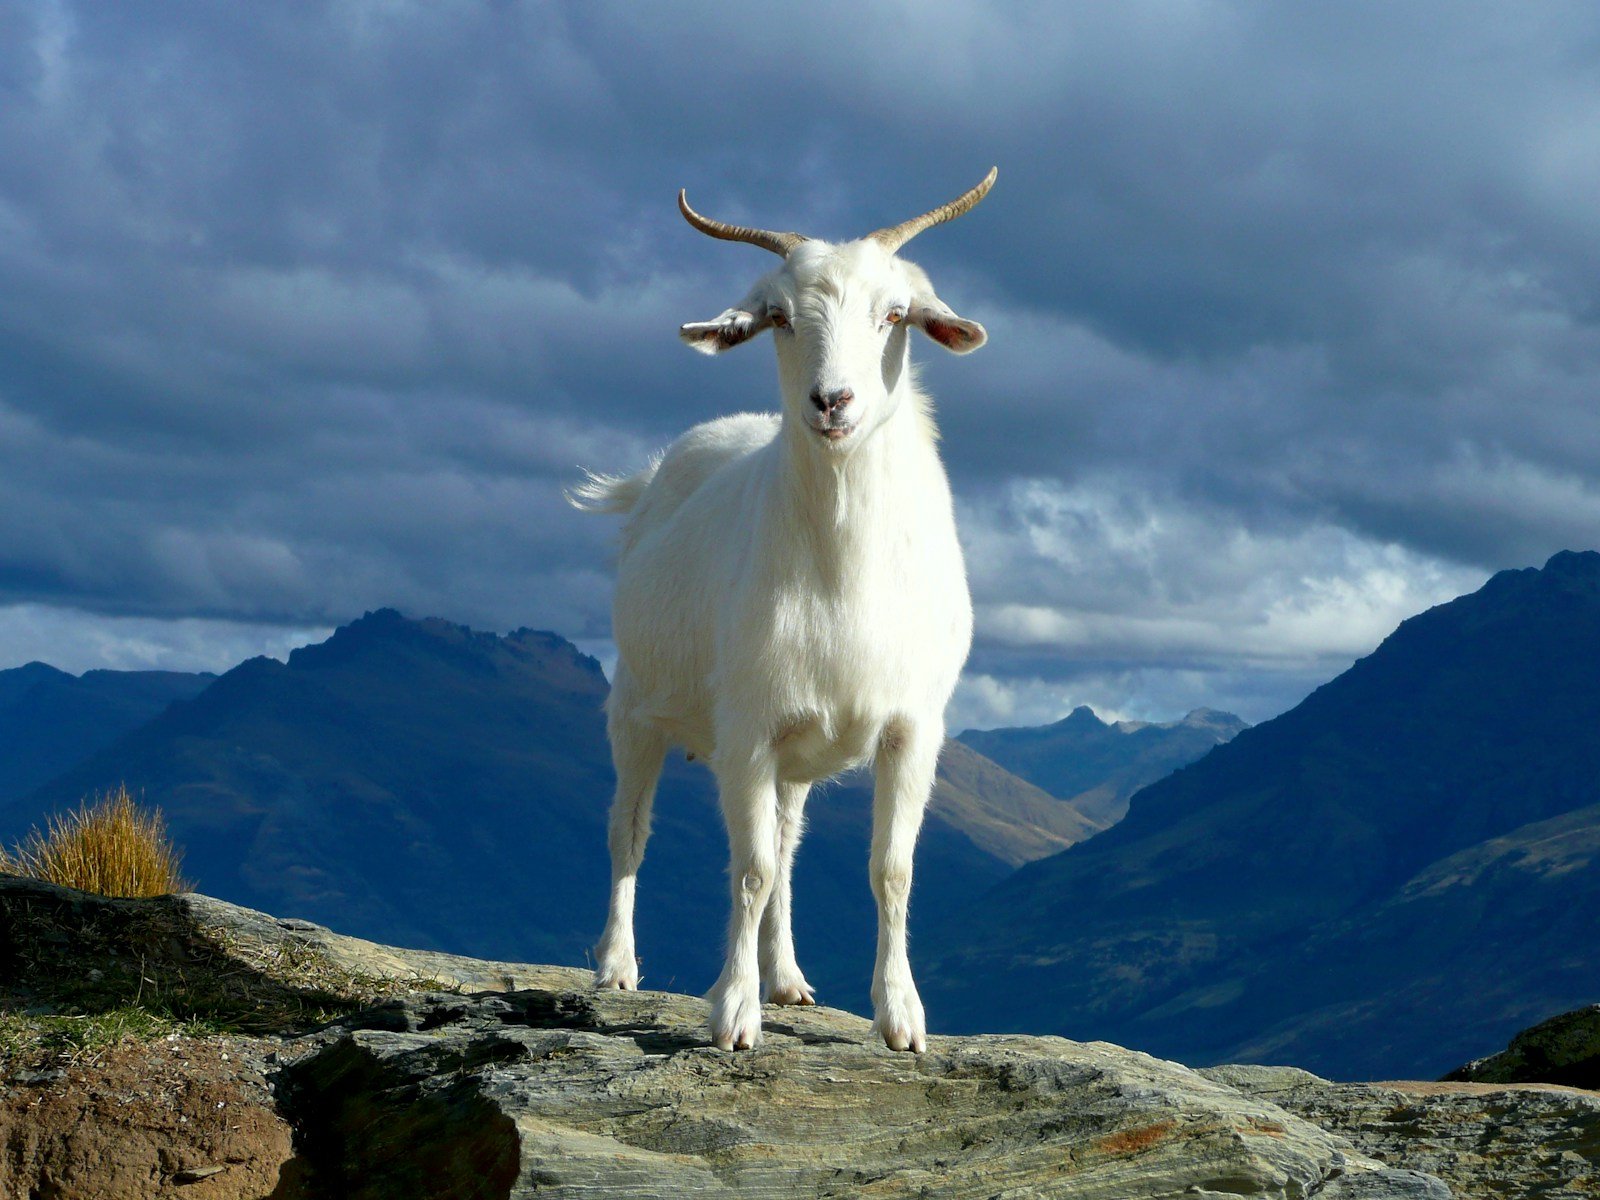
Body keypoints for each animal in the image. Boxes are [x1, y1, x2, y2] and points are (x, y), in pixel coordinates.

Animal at [569, 169, 992, 1049]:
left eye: (895, 314)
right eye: (779, 318)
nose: (833, 402)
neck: (843, 572)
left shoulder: (912, 729)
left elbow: (889, 869)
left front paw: (901, 1017)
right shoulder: (747, 731)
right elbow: (750, 870)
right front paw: (733, 1013)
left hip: (798, 753)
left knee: (790, 847)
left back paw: (789, 978)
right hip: (635, 708)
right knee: (629, 828)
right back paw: (617, 965)